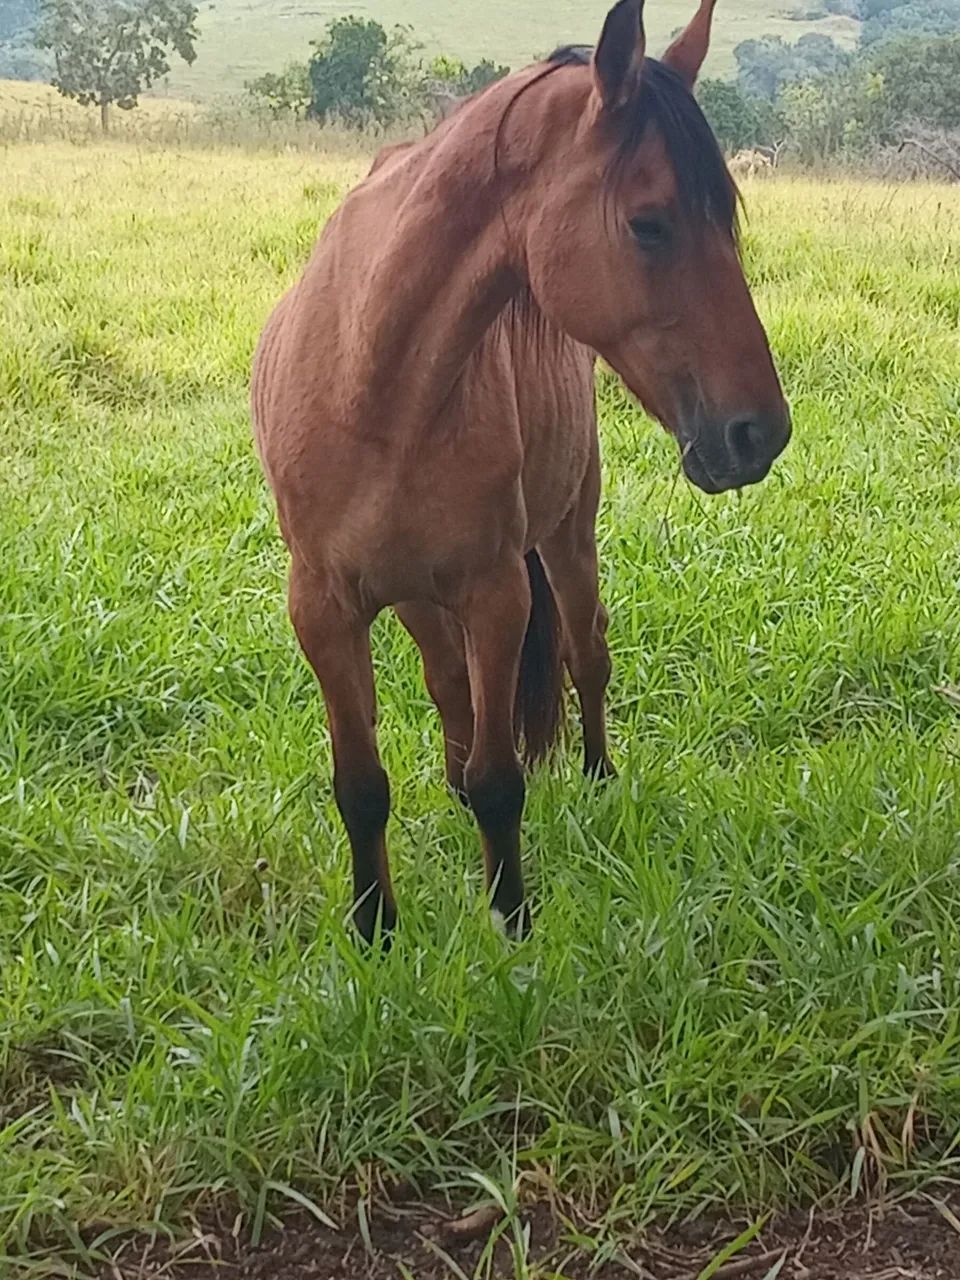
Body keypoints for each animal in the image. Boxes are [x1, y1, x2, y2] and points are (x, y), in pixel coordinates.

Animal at [252, 0, 792, 946]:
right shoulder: (322, 606)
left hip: (567, 539)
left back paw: (600, 780)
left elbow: (503, 780)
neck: (374, 380)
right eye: (649, 222)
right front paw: (374, 930)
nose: (758, 432)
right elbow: (362, 784)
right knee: (452, 694)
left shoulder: (496, 592)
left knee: (586, 652)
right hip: (419, 597)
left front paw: (511, 926)